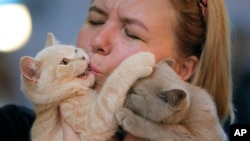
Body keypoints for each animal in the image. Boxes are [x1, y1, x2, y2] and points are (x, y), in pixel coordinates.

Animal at [21, 32, 154, 140]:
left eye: (75, 51)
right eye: (64, 62)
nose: (83, 57)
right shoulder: (94, 120)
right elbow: (114, 82)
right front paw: (140, 60)